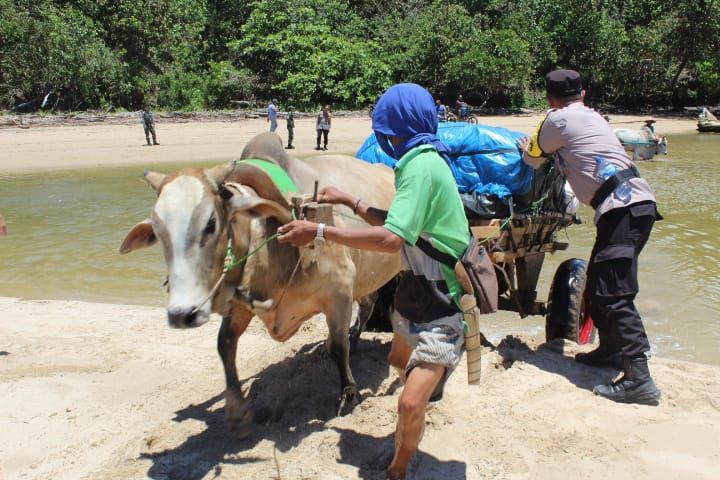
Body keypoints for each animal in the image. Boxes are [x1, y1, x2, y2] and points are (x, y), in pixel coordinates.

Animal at [117, 133, 400, 434]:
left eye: (211, 223)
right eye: (158, 231)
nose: (182, 314)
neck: (269, 235)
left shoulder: (339, 292)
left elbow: (337, 347)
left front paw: (349, 394)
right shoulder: (240, 303)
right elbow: (225, 344)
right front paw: (237, 410)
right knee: (368, 305)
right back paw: (356, 340)